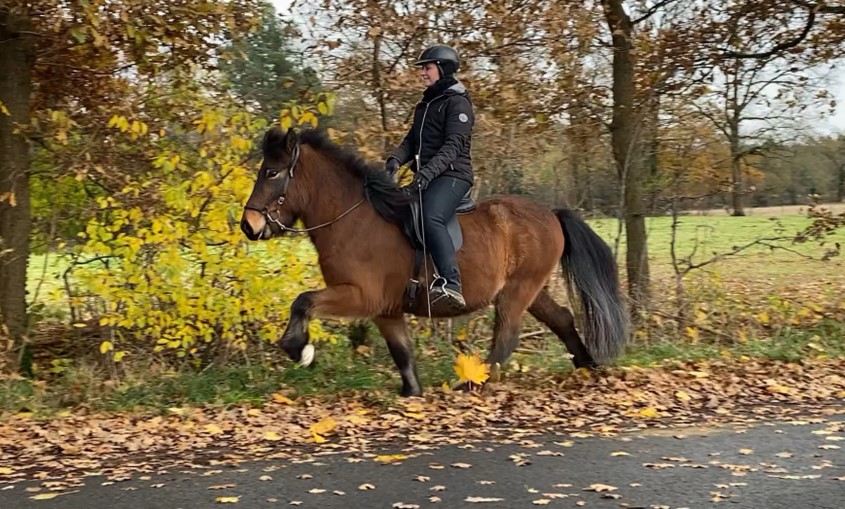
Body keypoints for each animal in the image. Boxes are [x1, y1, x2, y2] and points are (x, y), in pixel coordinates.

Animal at [240, 126, 628, 396]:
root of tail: (551, 215)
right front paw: (412, 392)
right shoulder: (386, 309)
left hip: (517, 291)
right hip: (534, 290)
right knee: (561, 319)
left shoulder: (361, 295)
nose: (249, 225)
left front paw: (299, 349)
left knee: (506, 337)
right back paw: (587, 365)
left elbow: (303, 301)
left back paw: (473, 382)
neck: (352, 219)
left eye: (271, 173)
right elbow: (402, 351)